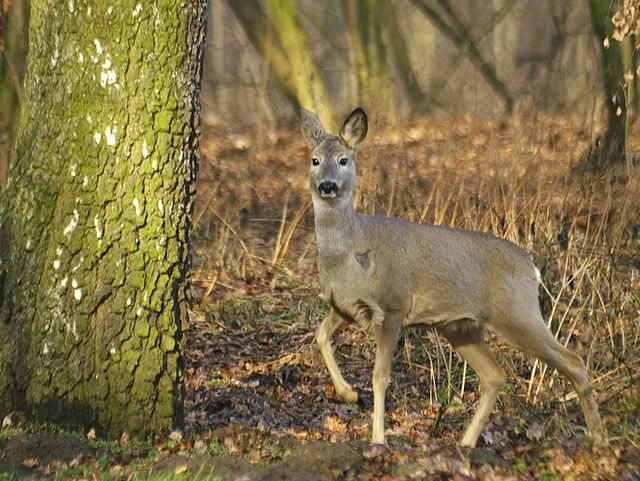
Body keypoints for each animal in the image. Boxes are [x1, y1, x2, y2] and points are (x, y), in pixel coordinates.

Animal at [302, 108, 608, 446]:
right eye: (315, 160)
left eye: (344, 160)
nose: (327, 185)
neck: (349, 255)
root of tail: (531, 266)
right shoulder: (346, 308)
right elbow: (320, 335)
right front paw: (350, 395)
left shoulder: (393, 306)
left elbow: (380, 377)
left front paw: (378, 439)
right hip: (461, 327)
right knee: (495, 375)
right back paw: (466, 442)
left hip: (518, 314)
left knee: (573, 361)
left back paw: (599, 439)